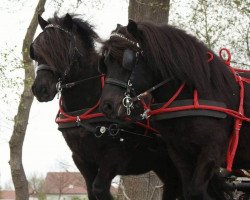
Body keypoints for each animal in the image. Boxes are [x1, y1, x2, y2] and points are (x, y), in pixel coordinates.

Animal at [30, 14, 182, 200]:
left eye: (62, 49)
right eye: (36, 51)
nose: (40, 89)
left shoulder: (114, 155)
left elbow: (99, 189)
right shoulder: (81, 158)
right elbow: (91, 191)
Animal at [98, 19, 250, 199]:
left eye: (127, 60)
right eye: (105, 63)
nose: (106, 106)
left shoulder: (212, 150)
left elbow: (196, 191)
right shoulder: (179, 153)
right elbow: (189, 191)